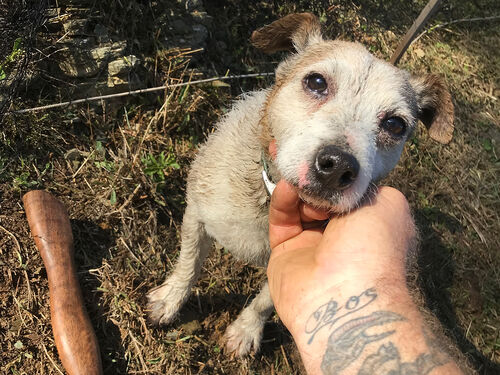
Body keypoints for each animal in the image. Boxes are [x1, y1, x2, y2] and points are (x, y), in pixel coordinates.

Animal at [145, 13, 454, 356]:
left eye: (395, 124)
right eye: (316, 82)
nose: (338, 166)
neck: (265, 199)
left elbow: (265, 301)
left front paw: (246, 330)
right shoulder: (196, 215)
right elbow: (189, 264)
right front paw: (171, 300)